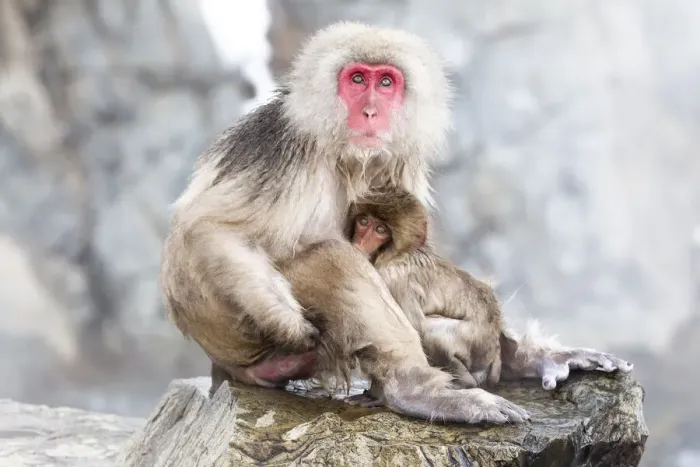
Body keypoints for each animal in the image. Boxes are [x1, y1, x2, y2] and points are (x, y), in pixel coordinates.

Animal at [347, 188, 503, 390]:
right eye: (364, 221)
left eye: (380, 230)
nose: (361, 241)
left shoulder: (393, 279)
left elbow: (414, 330)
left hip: (476, 343)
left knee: (431, 332)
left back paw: (464, 382)